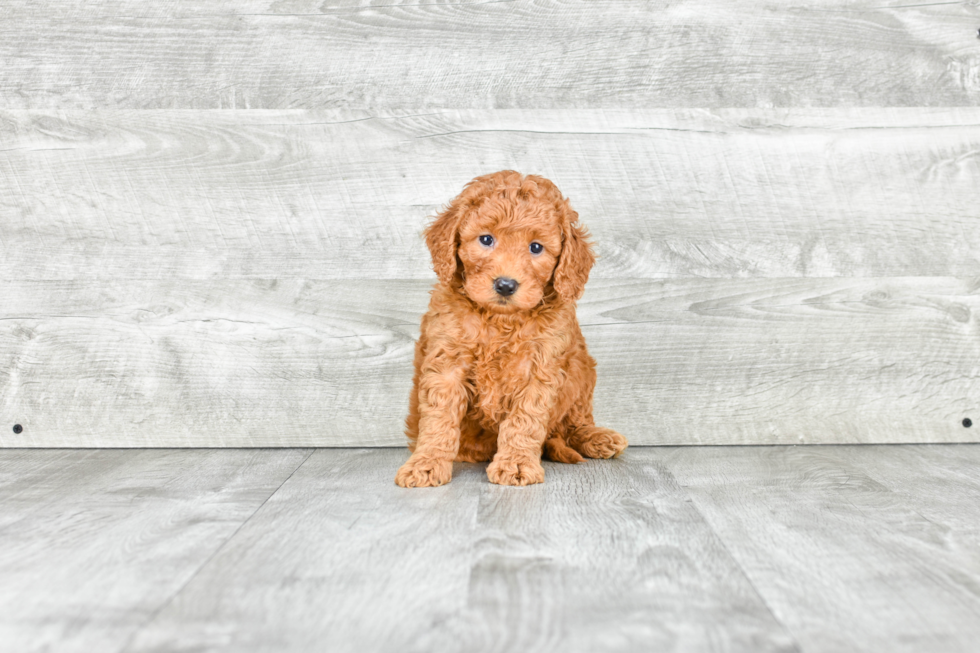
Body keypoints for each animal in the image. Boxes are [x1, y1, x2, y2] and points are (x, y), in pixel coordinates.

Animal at [396, 171, 628, 486]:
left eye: (536, 247)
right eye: (486, 239)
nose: (505, 284)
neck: (500, 320)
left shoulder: (539, 367)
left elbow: (524, 421)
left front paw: (516, 463)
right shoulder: (447, 363)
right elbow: (438, 420)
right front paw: (426, 463)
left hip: (582, 373)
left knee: (573, 423)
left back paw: (597, 437)